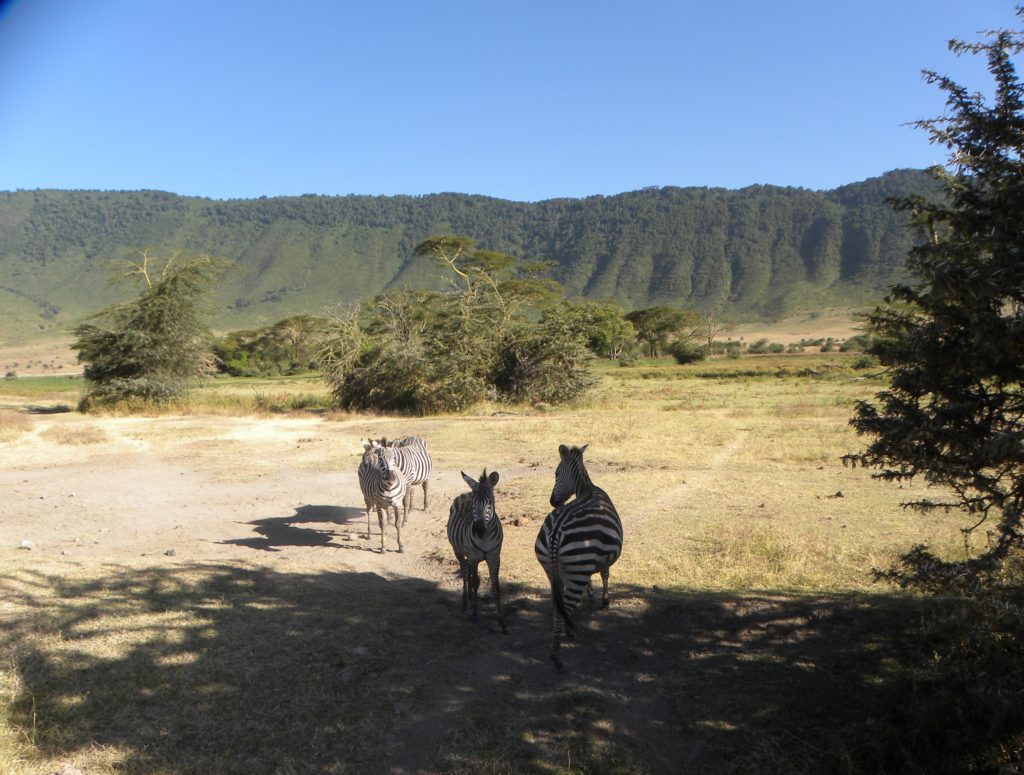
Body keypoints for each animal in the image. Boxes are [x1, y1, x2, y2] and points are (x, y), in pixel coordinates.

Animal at [444, 468, 507, 630]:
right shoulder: (474, 557)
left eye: (490, 502)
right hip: (458, 550)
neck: (485, 537)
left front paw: (502, 622)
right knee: (466, 573)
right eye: (474, 503)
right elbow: (474, 582)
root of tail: (465, 492)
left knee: (469, 574)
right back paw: (466, 602)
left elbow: (495, 587)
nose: (478, 528)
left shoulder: (494, 558)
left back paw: (471, 599)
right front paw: (475, 613)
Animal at [536, 444, 622, 667]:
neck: (586, 488)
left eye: (556, 473)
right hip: (576, 569)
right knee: (563, 609)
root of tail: (556, 532)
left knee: (558, 605)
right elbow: (605, 574)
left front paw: (590, 593)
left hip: (552, 570)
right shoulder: (604, 557)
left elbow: (592, 577)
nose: (553, 501)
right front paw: (605, 600)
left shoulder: (589, 562)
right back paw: (557, 655)